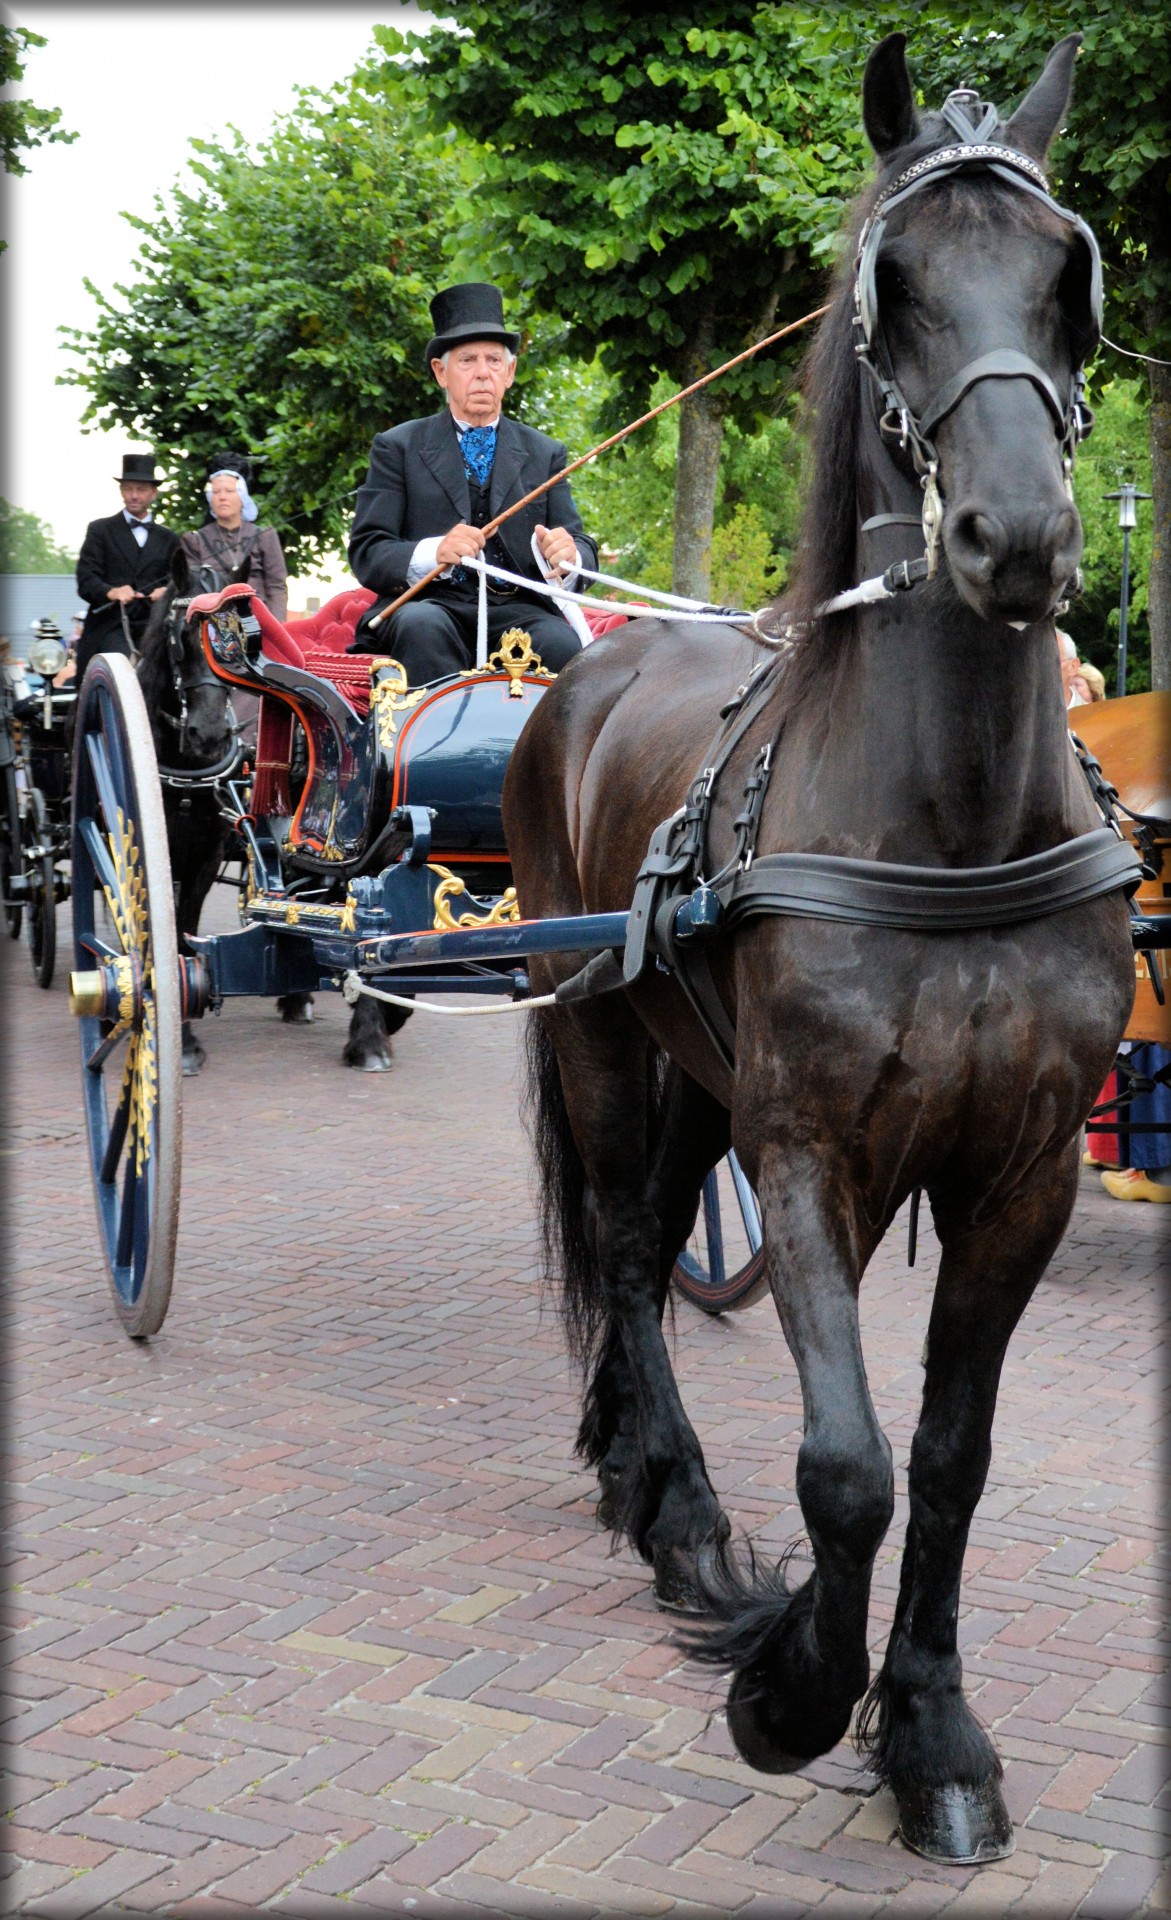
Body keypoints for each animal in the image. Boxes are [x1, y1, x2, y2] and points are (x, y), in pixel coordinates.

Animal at [138, 552, 405, 1082]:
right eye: (180, 635)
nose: (210, 733)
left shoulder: (202, 861)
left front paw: (369, 1037)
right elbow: (169, 930)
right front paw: (182, 1039)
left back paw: (301, 998)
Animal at [502, 33, 1128, 1858]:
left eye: (1067, 278)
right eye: (891, 281)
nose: (1015, 537)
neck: (951, 827)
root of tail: (588, 668)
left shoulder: (1021, 1172)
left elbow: (948, 1456)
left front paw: (928, 1732)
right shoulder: (805, 1151)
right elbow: (844, 1462)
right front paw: (785, 1684)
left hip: (693, 1075)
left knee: (646, 1250)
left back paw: (632, 1467)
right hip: (600, 1037)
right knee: (622, 1249)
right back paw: (680, 1517)